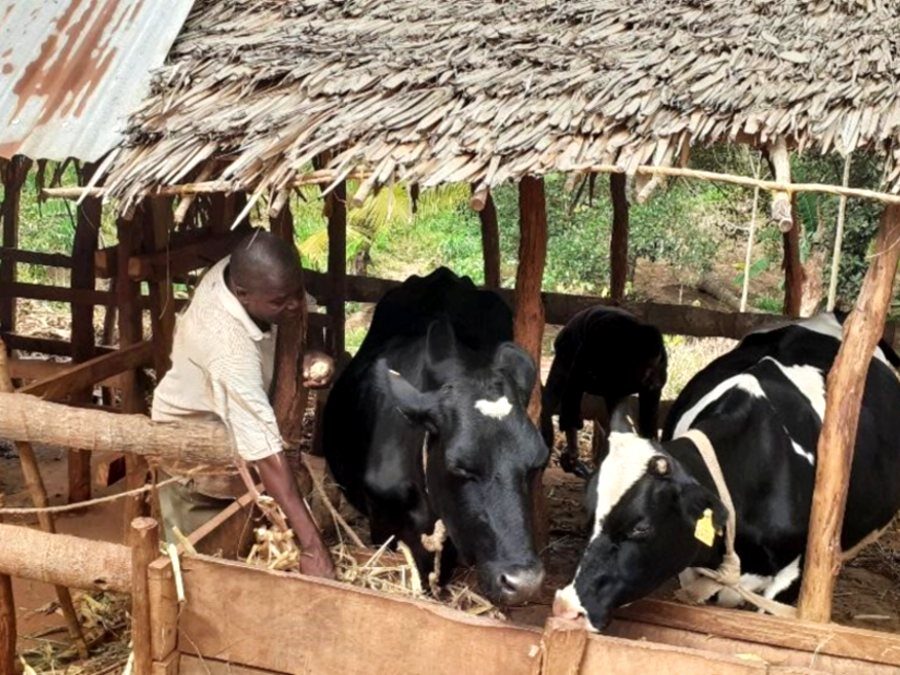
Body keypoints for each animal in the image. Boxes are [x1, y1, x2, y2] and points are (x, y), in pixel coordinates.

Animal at [536, 304, 664, 476]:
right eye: (647, 368)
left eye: (654, 367)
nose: (653, 380)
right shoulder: (597, 342)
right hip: (567, 353)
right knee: (561, 394)